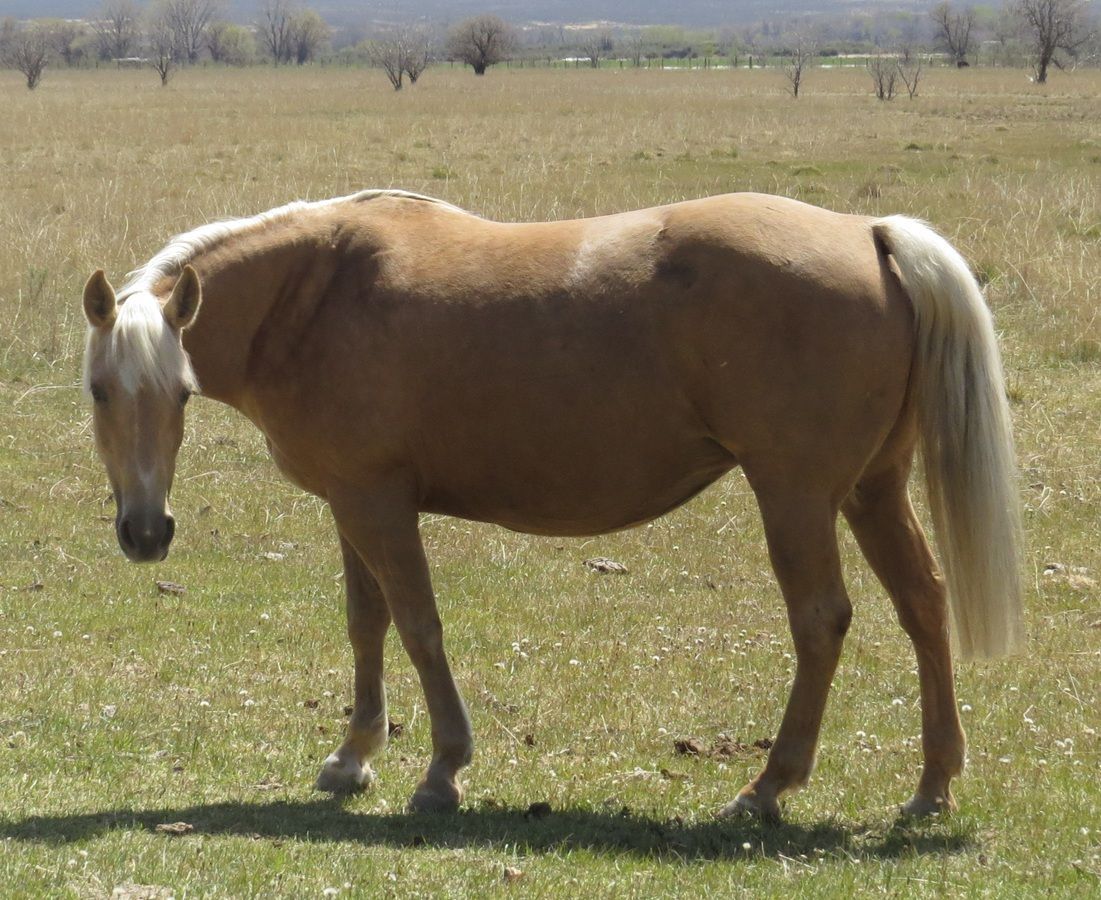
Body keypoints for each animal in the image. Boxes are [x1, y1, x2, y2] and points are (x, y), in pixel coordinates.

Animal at [81, 189, 1023, 820]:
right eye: (99, 390)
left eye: (180, 392)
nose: (145, 532)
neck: (317, 294)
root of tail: (868, 233)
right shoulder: (350, 503)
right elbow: (366, 624)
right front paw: (352, 759)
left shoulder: (377, 505)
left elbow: (417, 625)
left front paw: (443, 770)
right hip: (871, 489)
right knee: (922, 604)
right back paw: (931, 785)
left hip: (794, 496)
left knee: (821, 620)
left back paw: (767, 788)